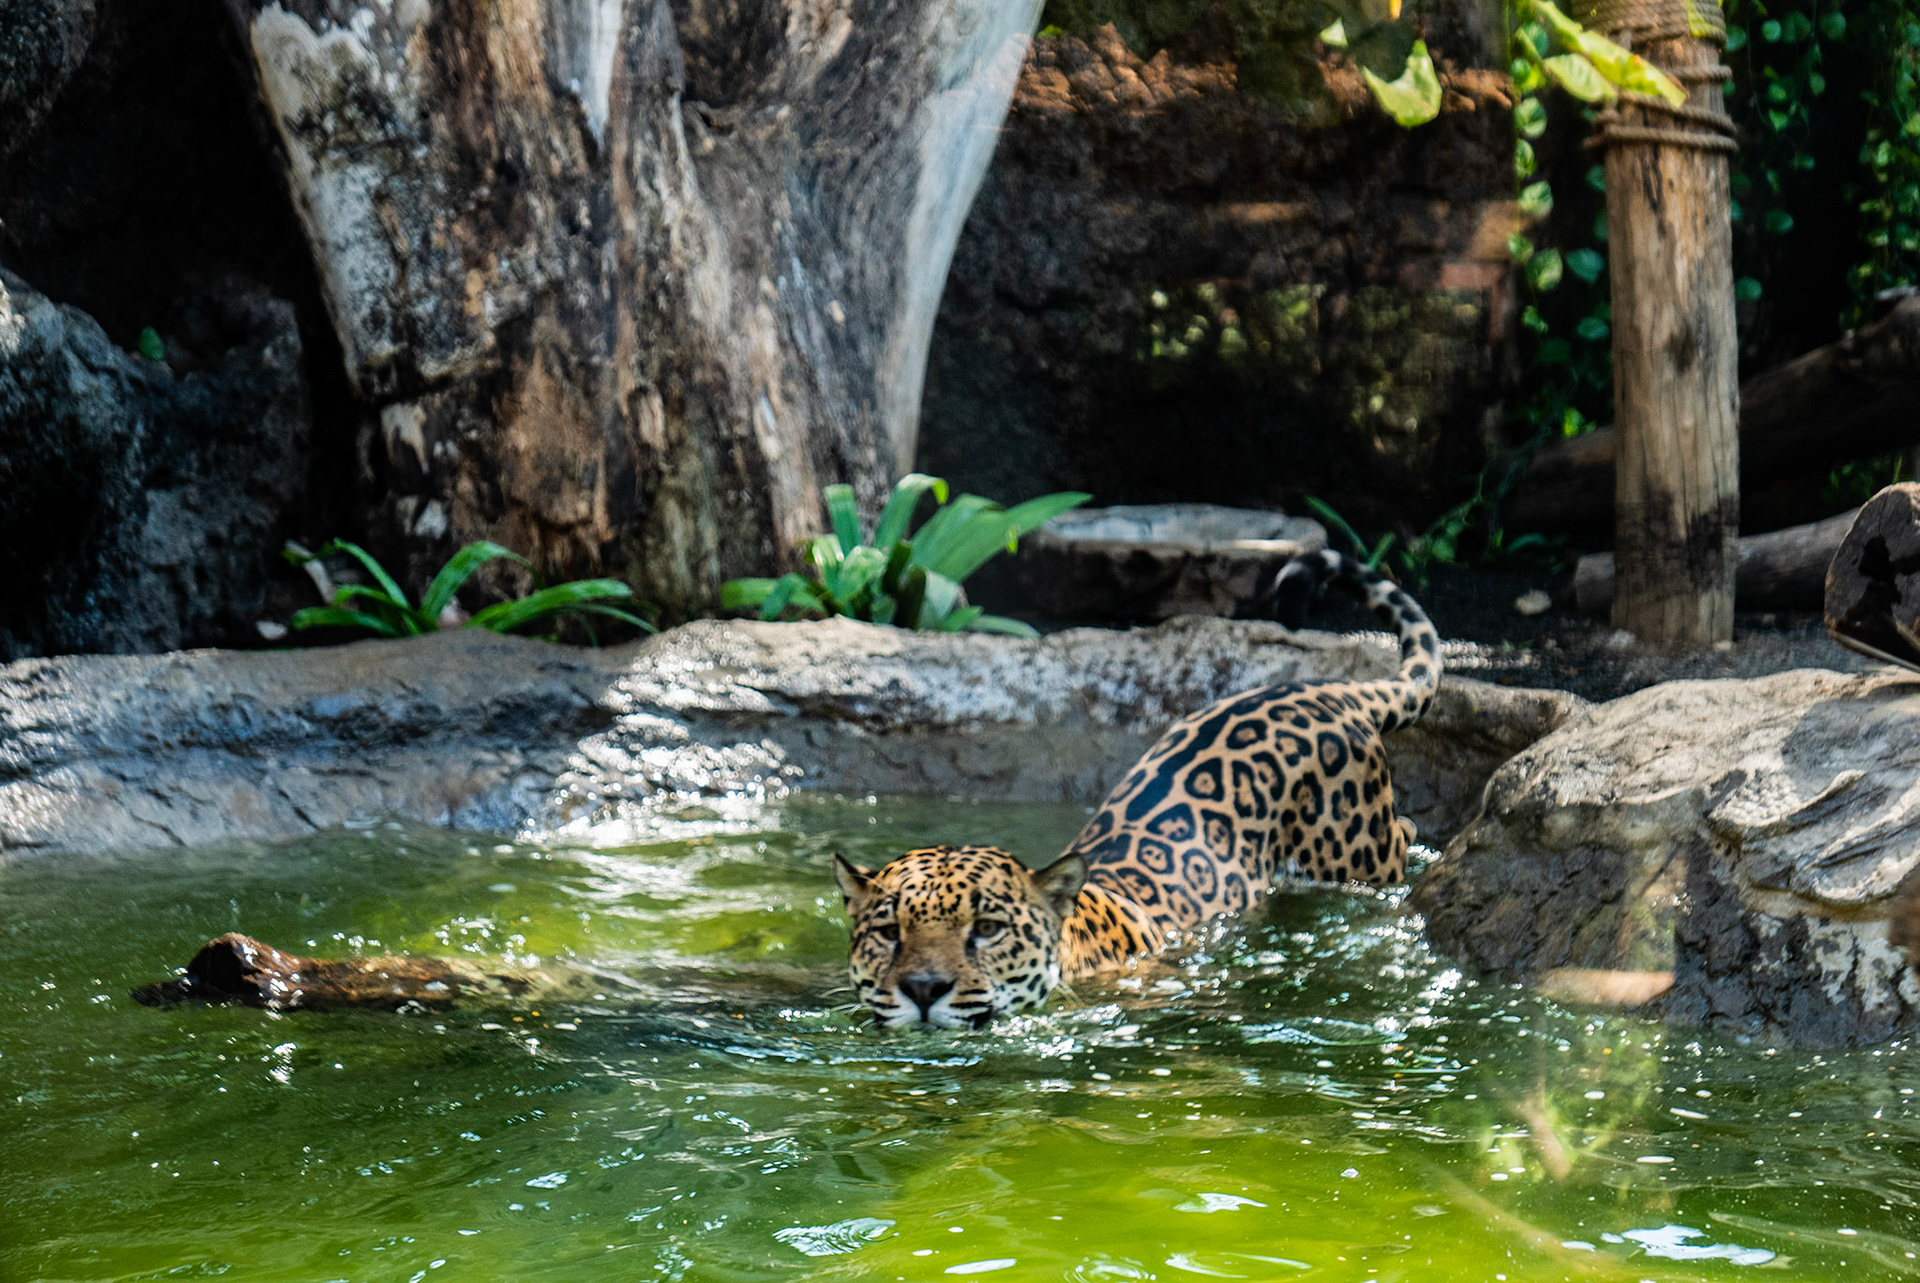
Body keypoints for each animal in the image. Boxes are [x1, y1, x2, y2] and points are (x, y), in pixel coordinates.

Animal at [833, 548, 1441, 1029]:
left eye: (986, 929)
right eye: (888, 931)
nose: (923, 990)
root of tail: (1328, 690)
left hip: (1357, 853)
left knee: (1401, 835)